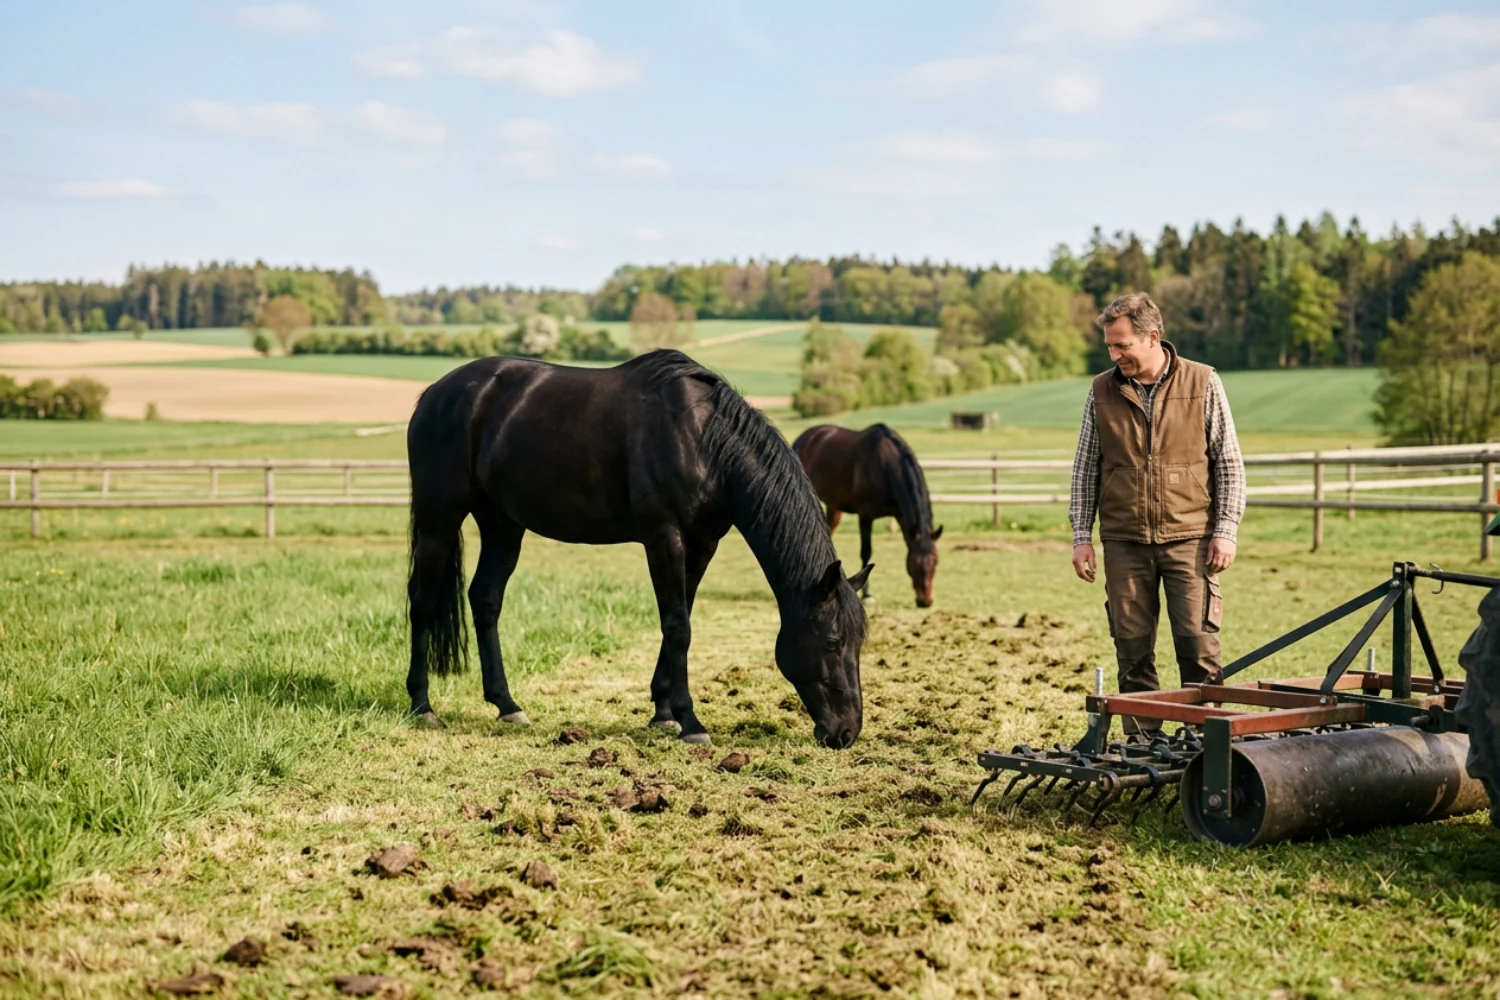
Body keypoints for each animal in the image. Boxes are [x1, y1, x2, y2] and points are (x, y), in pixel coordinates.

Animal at [405, 349, 873, 749]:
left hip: (502, 525)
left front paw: (664, 713)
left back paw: (507, 705)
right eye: (832, 642)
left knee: (485, 600)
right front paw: (691, 722)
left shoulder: (703, 544)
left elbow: (681, 618)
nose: (845, 732)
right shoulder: (663, 537)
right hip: (439, 520)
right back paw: (422, 706)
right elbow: (678, 625)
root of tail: (435, 393)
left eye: (858, 643)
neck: (705, 443)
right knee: (422, 601)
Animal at [791, 423, 942, 608]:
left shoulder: (900, 514)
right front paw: (867, 595)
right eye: (914, 563)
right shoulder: (865, 515)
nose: (925, 601)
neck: (885, 465)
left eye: (936, 561)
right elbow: (866, 552)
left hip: (834, 505)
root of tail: (805, 437)